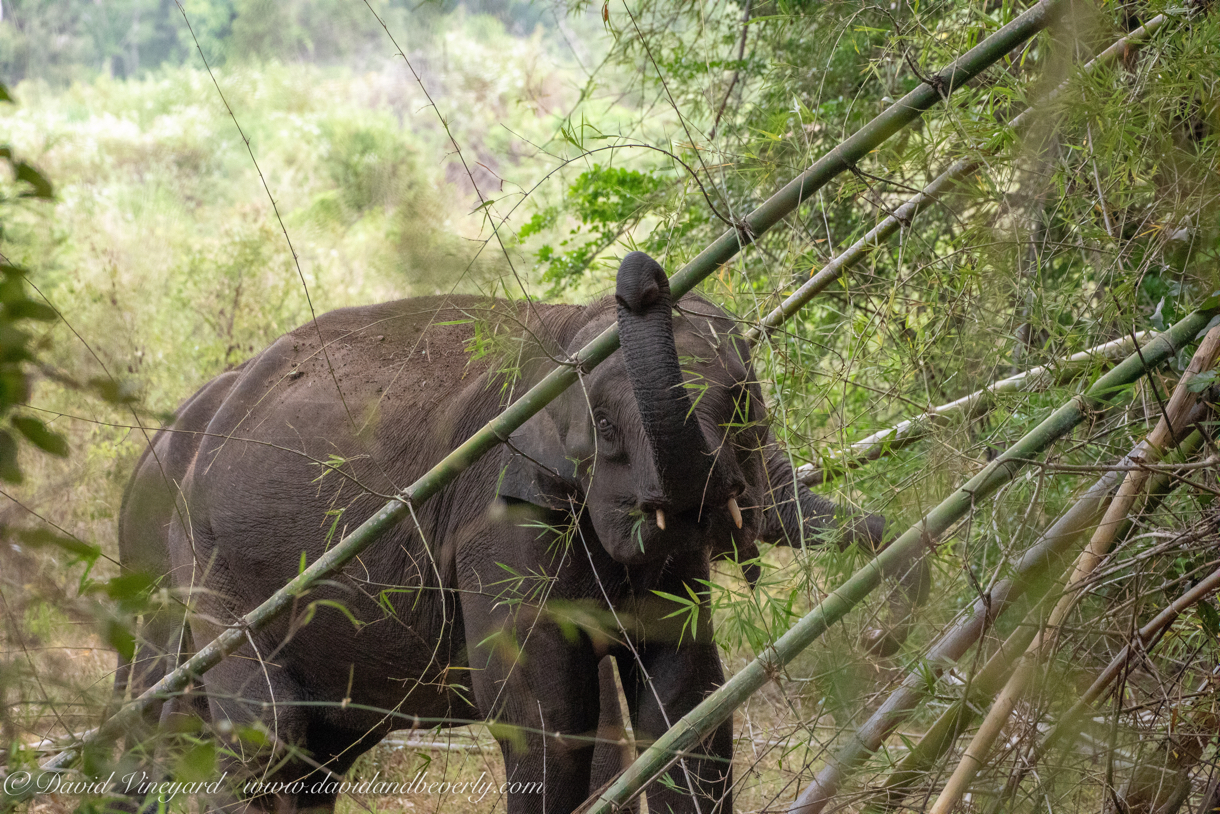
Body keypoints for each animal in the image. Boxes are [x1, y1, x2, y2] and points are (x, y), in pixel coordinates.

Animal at [116, 252, 917, 814]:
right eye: (605, 428)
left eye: (748, 405)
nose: (646, 279)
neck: (566, 330)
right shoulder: (500, 521)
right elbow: (545, 717)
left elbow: (686, 701)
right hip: (202, 565)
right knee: (263, 734)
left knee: (303, 755)